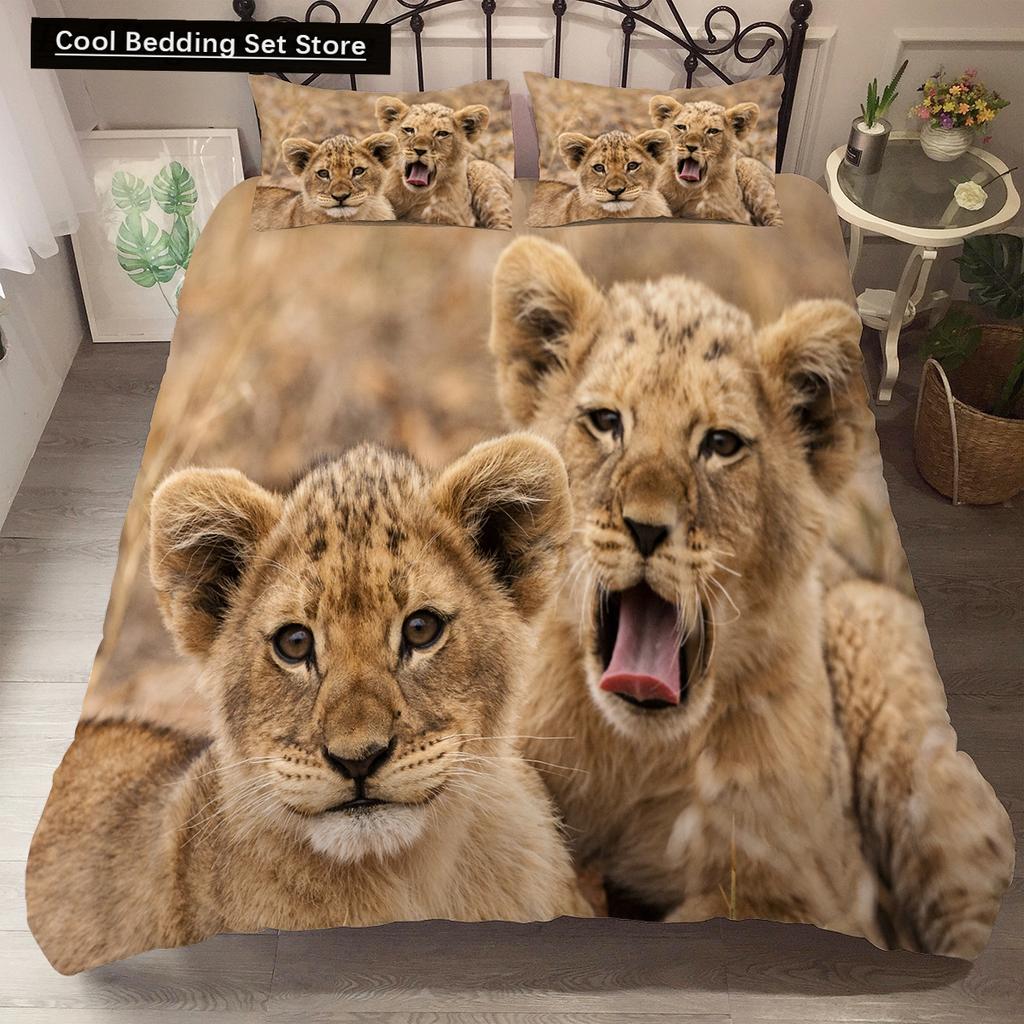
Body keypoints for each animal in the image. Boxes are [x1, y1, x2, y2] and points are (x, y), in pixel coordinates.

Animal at [375, 97, 512, 229]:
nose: (419, 150)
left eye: (442, 133)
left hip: (480, 168)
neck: (413, 196)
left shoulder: (457, 218)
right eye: (409, 130)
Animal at [649, 96, 783, 227]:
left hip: (749, 167)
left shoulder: (736, 215)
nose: (691, 147)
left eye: (713, 131)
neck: (687, 191)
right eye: (681, 127)